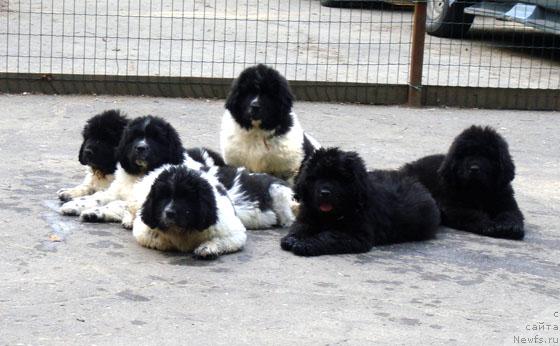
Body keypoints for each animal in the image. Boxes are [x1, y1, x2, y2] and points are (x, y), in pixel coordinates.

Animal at [58, 115, 221, 224]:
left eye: (155, 138)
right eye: (134, 137)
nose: (141, 148)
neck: (140, 174)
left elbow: (117, 203)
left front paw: (94, 212)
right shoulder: (113, 191)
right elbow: (95, 196)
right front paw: (72, 201)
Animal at [282, 147, 440, 255]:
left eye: (339, 178)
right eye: (316, 177)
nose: (324, 193)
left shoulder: (357, 236)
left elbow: (329, 236)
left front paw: (306, 244)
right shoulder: (307, 217)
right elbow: (300, 227)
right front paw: (292, 238)